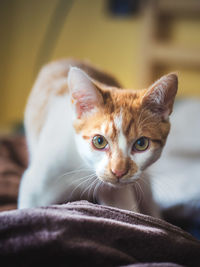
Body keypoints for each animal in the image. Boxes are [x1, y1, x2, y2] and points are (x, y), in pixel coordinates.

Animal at [17, 58, 178, 218]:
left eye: (141, 143)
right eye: (99, 141)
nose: (118, 171)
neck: (85, 168)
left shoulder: (118, 193)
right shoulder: (36, 183)